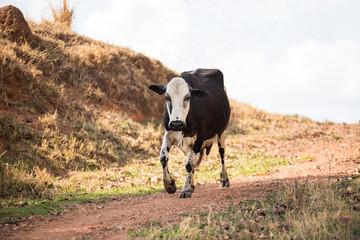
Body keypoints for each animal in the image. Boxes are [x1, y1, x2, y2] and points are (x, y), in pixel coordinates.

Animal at [148, 68, 231, 198]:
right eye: (167, 97)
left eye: (187, 97)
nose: (177, 124)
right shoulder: (168, 133)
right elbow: (163, 158)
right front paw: (169, 185)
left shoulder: (200, 137)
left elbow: (189, 164)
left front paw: (186, 189)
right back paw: (192, 184)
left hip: (221, 133)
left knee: (221, 154)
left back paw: (224, 179)